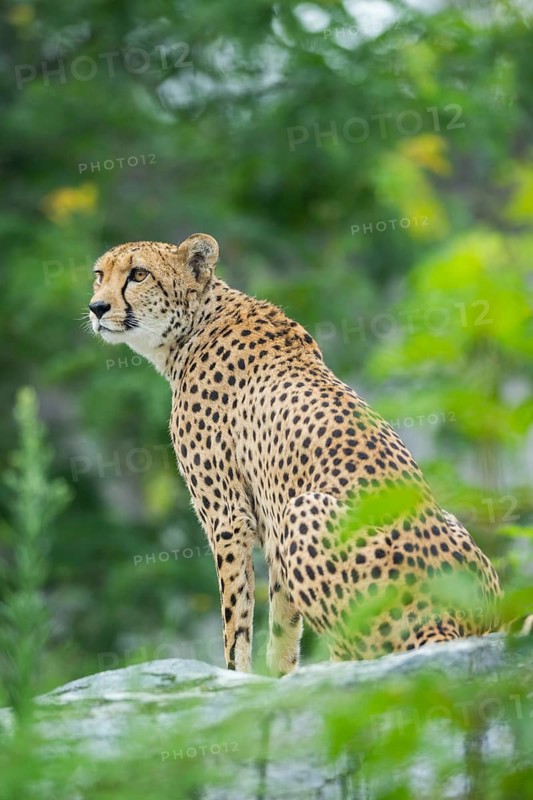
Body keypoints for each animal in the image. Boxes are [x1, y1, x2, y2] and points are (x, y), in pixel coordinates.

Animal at [88, 232, 502, 675]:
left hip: (306, 511)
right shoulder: (270, 525)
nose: (97, 308)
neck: (195, 325)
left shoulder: (230, 517)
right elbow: (282, 629)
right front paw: (279, 677)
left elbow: (236, 620)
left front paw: (236, 677)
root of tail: (454, 620)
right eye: (99, 275)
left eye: (138, 274)